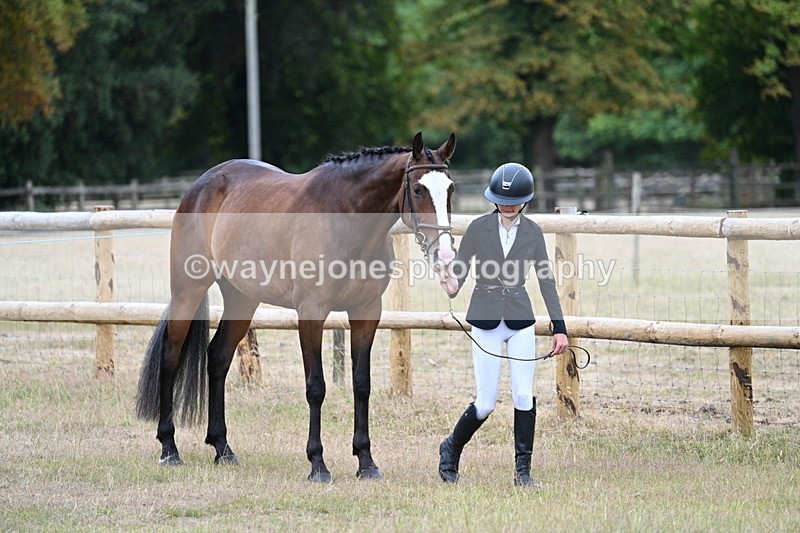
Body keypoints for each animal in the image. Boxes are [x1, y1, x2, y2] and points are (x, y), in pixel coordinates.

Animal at [135, 132, 457, 482]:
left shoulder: (367, 313)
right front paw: (318, 464)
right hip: (188, 291)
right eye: (418, 189)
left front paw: (366, 462)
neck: (344, 217)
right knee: (171, 357)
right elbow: (316, 387)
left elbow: (362, 384)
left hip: (241, 298)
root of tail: (201, 185)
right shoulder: (312, 313)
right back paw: (169, 448)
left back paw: (223, 448)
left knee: (218, 358)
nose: (445, 254)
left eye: (451, 189)